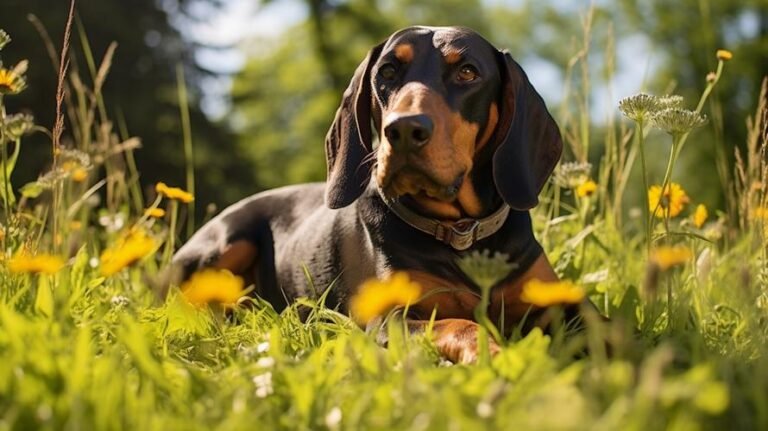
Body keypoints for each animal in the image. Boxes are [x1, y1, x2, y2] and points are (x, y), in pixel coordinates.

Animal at [171, 26, 572, 364]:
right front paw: (499, 355)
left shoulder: (555, 301)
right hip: (226, 242)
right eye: (388, 72)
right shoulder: (391, 318)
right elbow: (463, 324)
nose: (405, 129)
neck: (462, 236)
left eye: (468, 72)